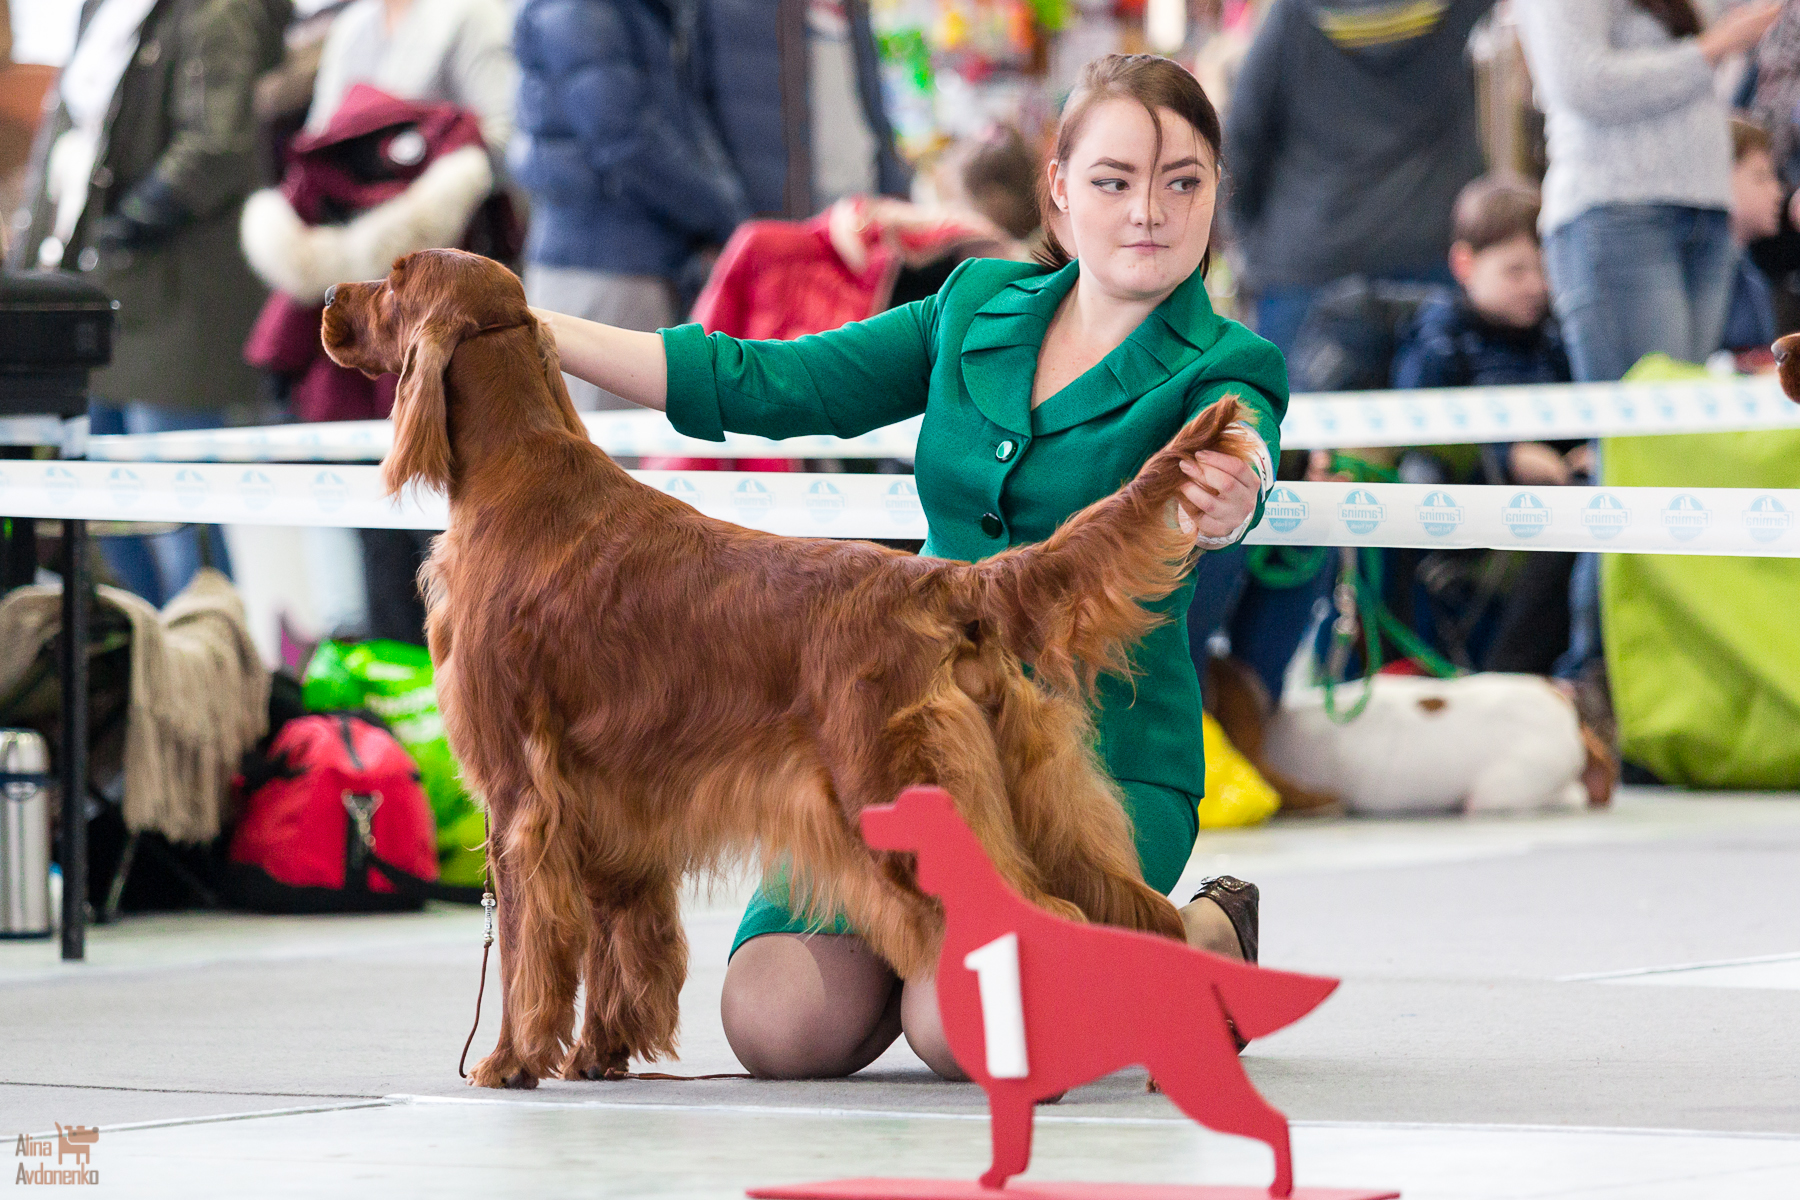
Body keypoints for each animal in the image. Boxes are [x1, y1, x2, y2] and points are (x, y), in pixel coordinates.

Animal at [320, 251, 1252, 1086]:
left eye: (394, 279)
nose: (329, 297)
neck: (515, 475)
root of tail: (949, 580)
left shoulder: (520, 794)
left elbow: (526, 942)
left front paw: (510, 1061)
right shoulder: (612, 804)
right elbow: (625, 939)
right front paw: (597, 1057)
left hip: (898, 799)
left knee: (1039, 918)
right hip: (1032, 795)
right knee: (1135, 908)